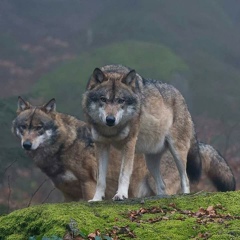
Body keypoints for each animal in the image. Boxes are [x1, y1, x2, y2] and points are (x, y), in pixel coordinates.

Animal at [12, 96, 235, 202]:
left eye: (38, 128)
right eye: (24, 127)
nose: (27, 145)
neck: (65, 144)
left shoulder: (89, 184)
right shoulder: (67, 195)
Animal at [82, 63, 201, 201]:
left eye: (121, 100)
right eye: (103, 99)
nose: (110, 120)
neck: (111, 130)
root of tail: (182, 98)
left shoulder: (129, 144)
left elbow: (123, 174)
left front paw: (121, 195)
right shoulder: (101, 144)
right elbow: (100, 179)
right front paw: (96, 199)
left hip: (177, 152)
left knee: (185, 179)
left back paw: (185, 195)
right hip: (150, 162)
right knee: (162, 185)